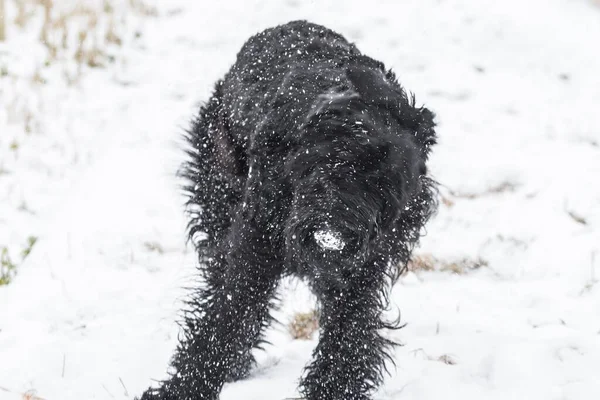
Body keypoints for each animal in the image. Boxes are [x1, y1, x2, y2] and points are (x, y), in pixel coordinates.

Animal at [140, 21, 436, 400]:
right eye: (331, 166)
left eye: (387, 188)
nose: (336, 230)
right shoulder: (255, 248)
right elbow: (228, 314)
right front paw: (185, 387)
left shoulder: (362, 270)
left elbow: (350, 334)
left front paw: (333, 389)